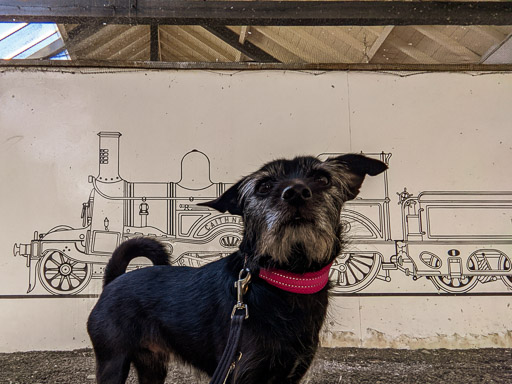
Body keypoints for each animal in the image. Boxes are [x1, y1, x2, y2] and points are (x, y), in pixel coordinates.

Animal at [88, 154, 386, 384]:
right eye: (264, 186)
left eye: (323, 179)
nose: (296, 193)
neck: (283, 279)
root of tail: (113, 281)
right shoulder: (243, 372)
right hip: (113, 361)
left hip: (152, 364)